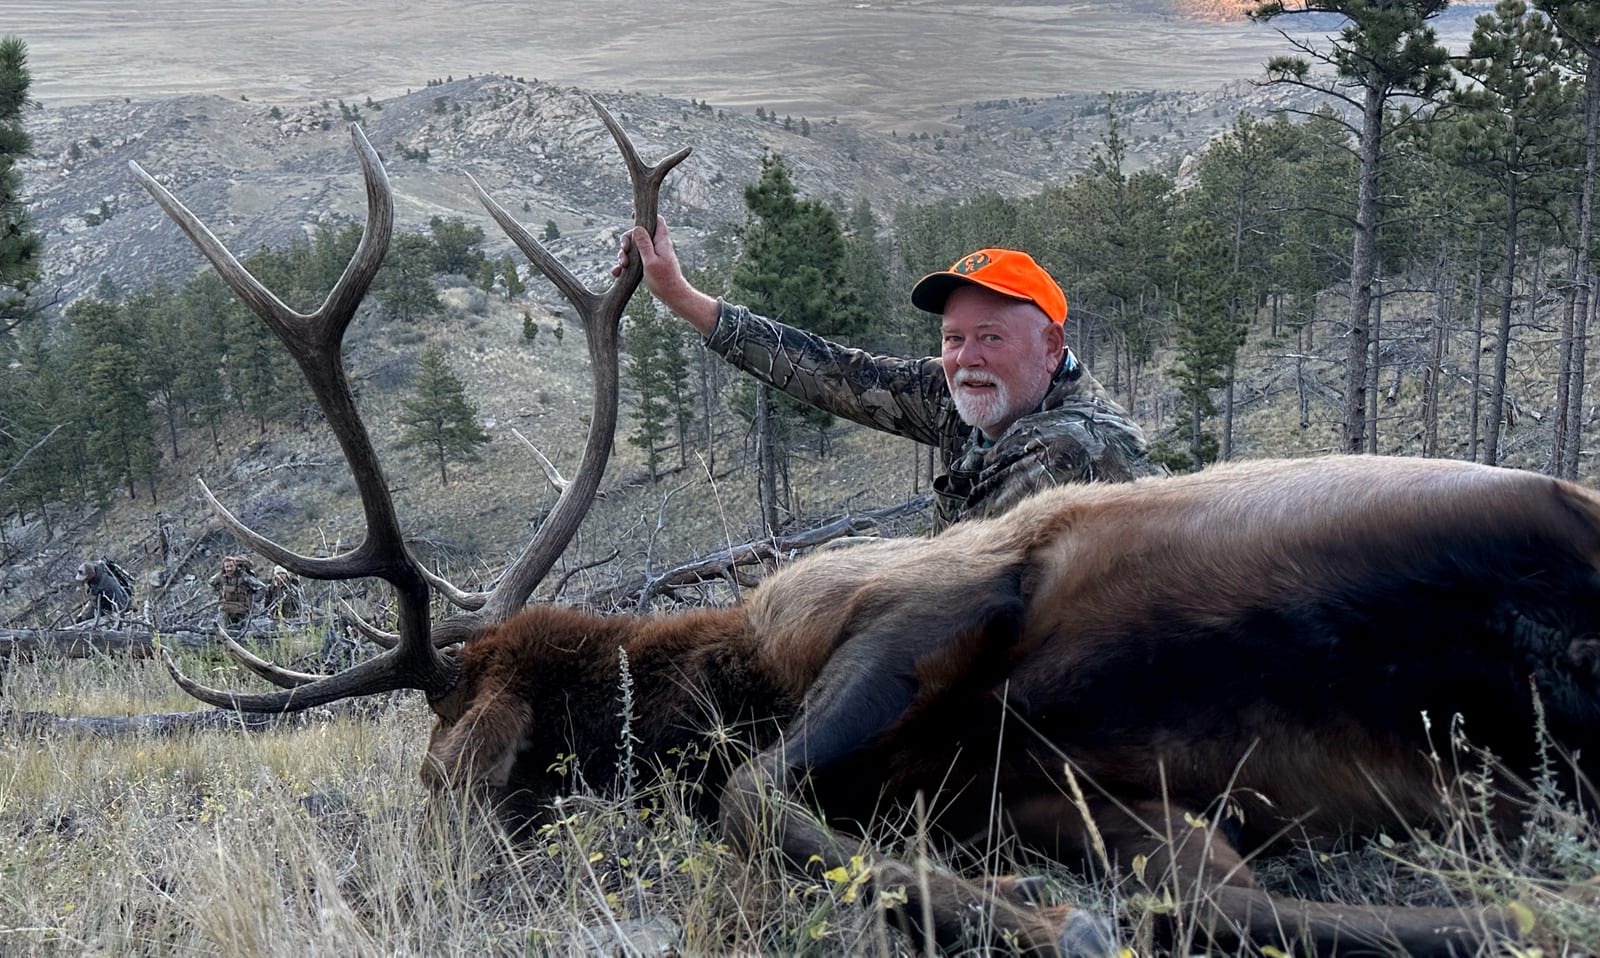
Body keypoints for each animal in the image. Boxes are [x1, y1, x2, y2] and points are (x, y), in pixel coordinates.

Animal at [130, 104, 1600, 958]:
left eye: (442, 777)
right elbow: (1206, 887)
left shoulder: (927, 602)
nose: (387, 895)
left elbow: (748, 792)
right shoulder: (1072, 798)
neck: (715, 671)